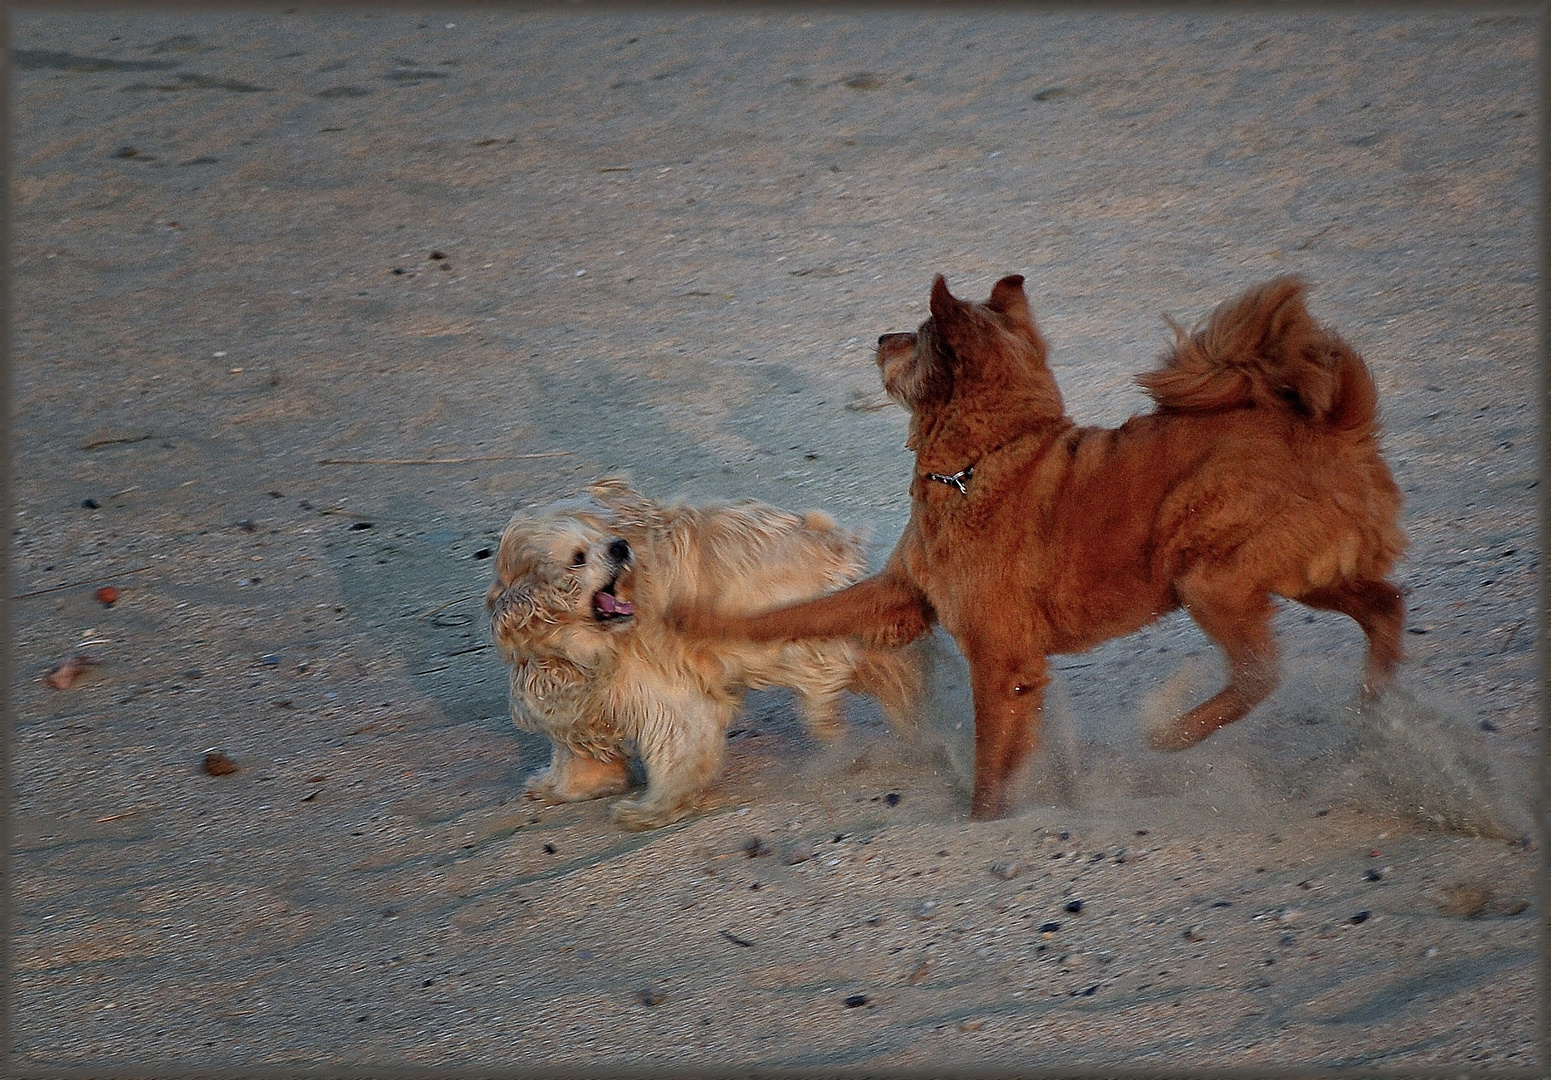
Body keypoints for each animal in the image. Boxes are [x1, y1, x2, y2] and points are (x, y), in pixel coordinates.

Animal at [483, 477, 918, 831]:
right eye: (577, 557)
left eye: (605, 537)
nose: (621, 547)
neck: (579, 642)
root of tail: (835, 541)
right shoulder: (573, 698)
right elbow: (577, 749)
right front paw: (567, 786)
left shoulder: (665, 697)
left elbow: (677, 747)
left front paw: (653, 809)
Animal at [673, 276, 1414, 819]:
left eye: (915, 338)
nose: (880, 335)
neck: (978, 464)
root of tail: (1337, 425)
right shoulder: (901, 598)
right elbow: (787, 615)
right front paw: (691, 620)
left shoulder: (999, 663)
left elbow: (988, 771)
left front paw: (983, 826)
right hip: (1304, 575)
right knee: (1384, 607)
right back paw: (1375, 711)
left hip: (1206, 569)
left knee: (1261, 670)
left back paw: (1175, 732)